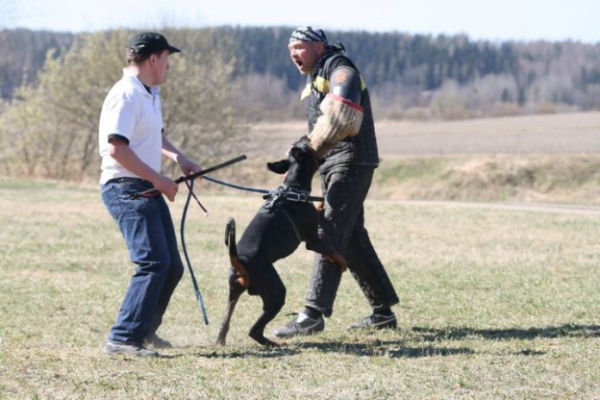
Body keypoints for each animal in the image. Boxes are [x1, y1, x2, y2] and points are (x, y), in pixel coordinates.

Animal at [216, 139, 346, 346]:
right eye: (306, 145)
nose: (306, 138)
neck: (293, 189)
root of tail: (238, 259)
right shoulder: (313, 240)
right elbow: (333, 251)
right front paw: (342, 263)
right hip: (276, 293)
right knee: (254, 330)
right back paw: (272, 343)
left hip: (234, 291)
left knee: (226, 320)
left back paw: (221, 338)